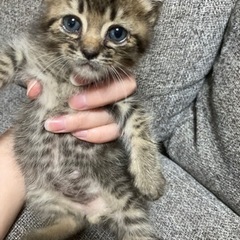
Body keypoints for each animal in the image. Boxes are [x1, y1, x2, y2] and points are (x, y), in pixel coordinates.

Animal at [0, 0, 165, 240]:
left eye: (117, 33)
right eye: (72, 23)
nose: (89, 52)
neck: (71, 78)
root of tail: (93, 211)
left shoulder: (122, 98)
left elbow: (139, 123)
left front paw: (149, 177)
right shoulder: (28, 57)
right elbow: (6, 60)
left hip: (127, 204)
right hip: (44, 195)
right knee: (72, 221)